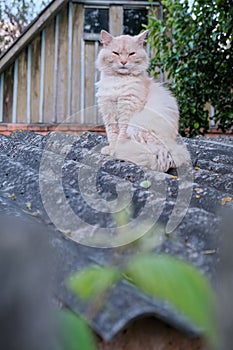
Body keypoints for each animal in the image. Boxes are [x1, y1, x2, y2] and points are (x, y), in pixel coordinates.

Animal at [95, 29, 183, 172]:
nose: (123, 62)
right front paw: (111, 149)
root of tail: (167, 151)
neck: (119, 81)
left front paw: (117, 150)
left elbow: (120, 136)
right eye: (116, 53)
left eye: (131, 54)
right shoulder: (109, 112)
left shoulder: (127, 111)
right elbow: (112, 134)